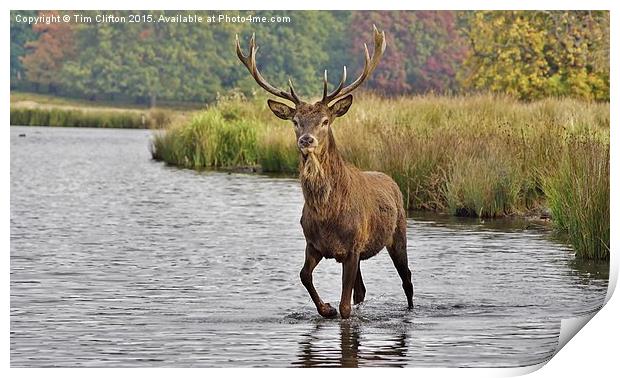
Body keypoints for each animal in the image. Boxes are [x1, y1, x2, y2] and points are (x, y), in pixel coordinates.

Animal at [235, 25, 414, 318]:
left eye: (325, 120)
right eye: (296, 121)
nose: (306, 140)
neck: (328, 216)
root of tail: (392, 181)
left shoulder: (352, 247)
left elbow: (345, 307)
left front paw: (334, 309)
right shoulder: (313, 244)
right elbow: (304, 276)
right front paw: (325, 309)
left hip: (398, 234)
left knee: (407, 279)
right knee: (362, 290)